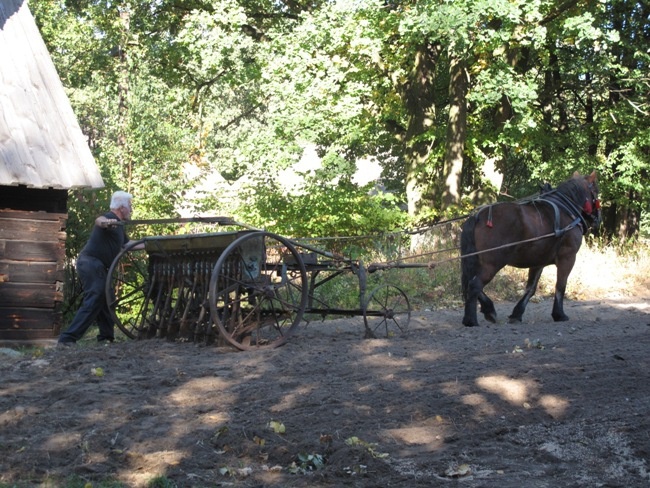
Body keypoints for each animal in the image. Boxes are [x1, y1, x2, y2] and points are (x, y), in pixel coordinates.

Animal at [458, 172, 600, 328]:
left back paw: (488, 310)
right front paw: (559, 314)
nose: (598, 219)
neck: (566, 211)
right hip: (493, 263)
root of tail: (478, 216)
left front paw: (517, 314)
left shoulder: (538, 262)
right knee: (474, 285)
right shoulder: (567, 257)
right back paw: (471, 320)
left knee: (470, 283)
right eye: (596, 192)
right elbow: (560, 286)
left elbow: (531, 288)